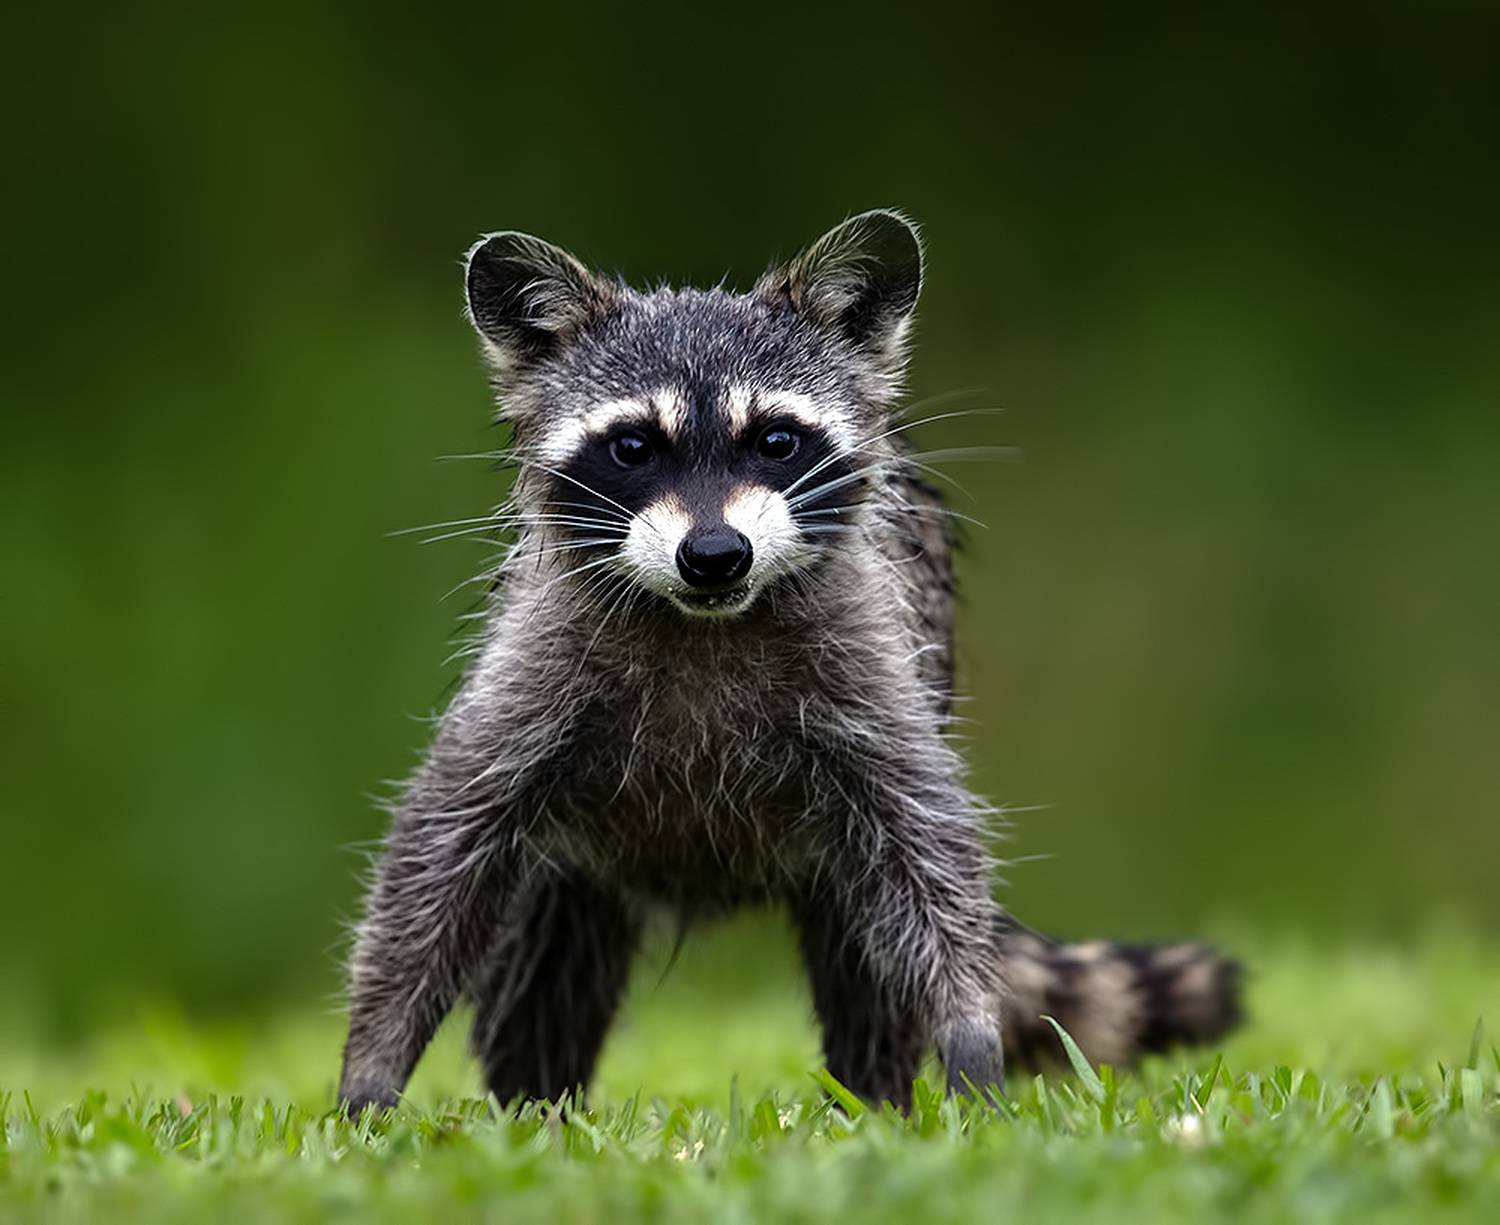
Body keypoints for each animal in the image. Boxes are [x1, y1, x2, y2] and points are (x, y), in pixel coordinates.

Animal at [337, 211, 1240, 1115]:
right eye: (632, 446)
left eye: (775, 440)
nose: (713, 555)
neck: (705, 618)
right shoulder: (531, 668)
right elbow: (439, 849)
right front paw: (373, 1063)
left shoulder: (875, 662)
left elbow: (930, 854)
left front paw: (968, 1027)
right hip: (572, 869)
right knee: (544, 966)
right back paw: (536, 1103)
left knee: (868, 951)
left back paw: (874, 1097)